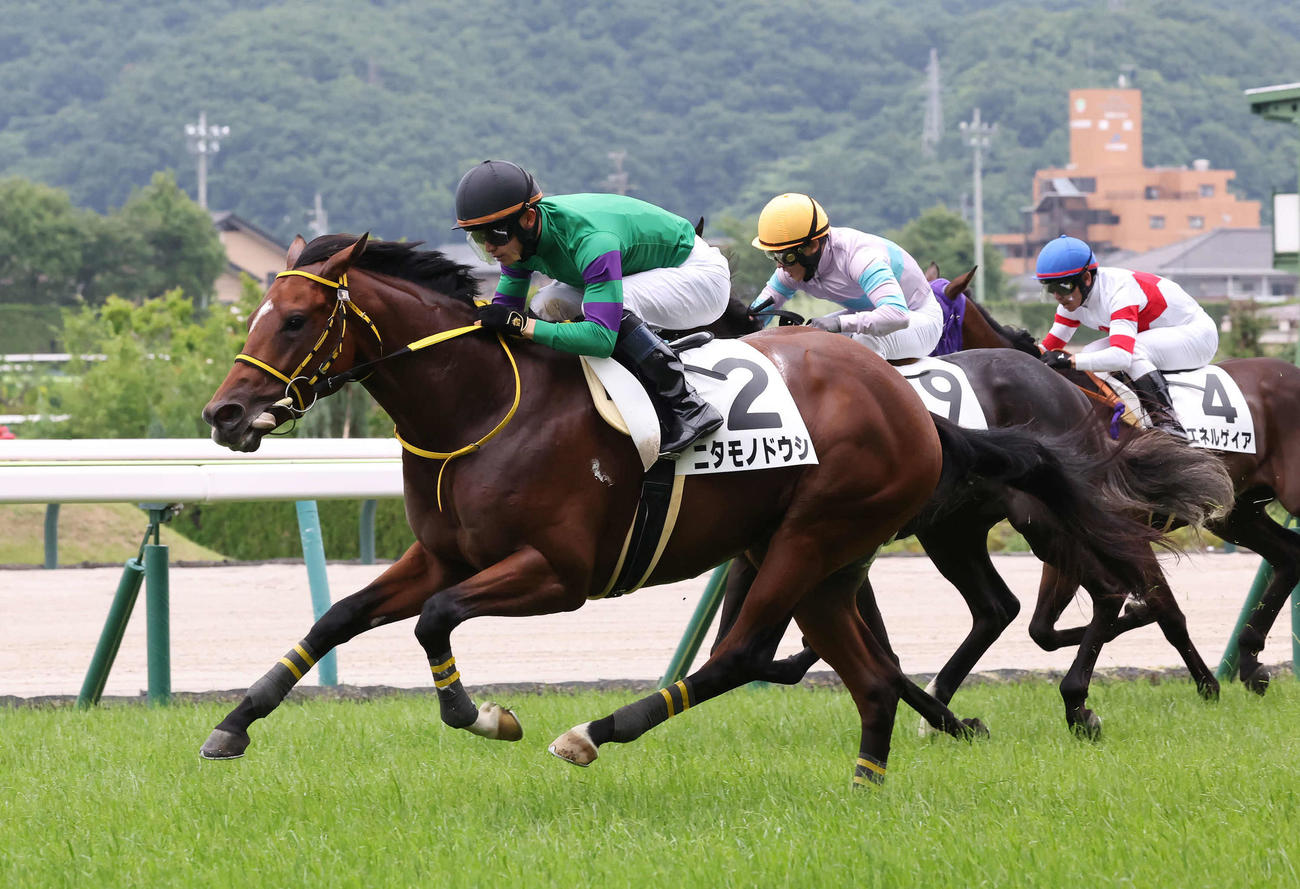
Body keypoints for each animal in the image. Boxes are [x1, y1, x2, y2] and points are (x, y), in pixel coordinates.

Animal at [199, 234, 1166, 784]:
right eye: (254, 314)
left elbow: (433, 619)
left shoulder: (559, 573)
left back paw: (596, 731)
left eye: (294, 319)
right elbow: (339, 615)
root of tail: (912, 407)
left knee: (746, 652)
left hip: (815, 536)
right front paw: (233, 725)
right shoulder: (446, 552)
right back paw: (869, 779)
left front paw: (485, 714)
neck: (485, 403)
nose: (225, 414)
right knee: (869, 669)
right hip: (832, 552)